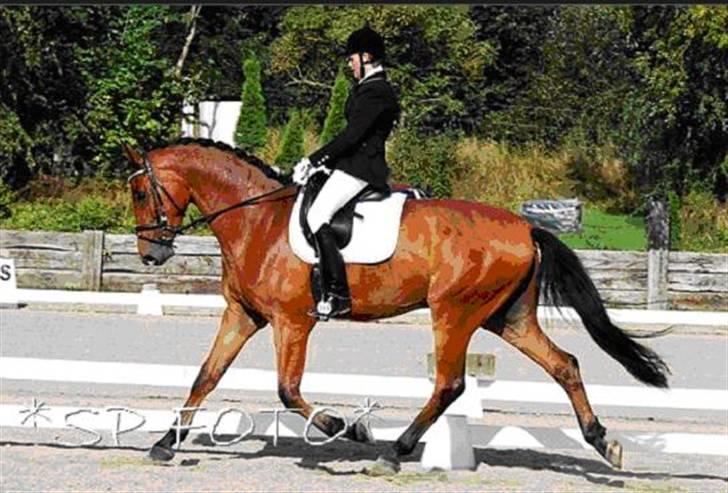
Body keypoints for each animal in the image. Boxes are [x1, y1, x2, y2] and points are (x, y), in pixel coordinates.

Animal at [122, 137, 668, 472]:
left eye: (140, 191)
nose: (151, 254)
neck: (258, 221)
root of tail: (526, 226)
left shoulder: (291, 321)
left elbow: (288, 389)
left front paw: (346, 427)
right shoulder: (244, 315)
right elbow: (206, 375)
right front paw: (165, 443)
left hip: (455, 312)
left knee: (449, 383)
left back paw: (395, 451)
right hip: (506, 317)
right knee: (564, 364)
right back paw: (602, 441)